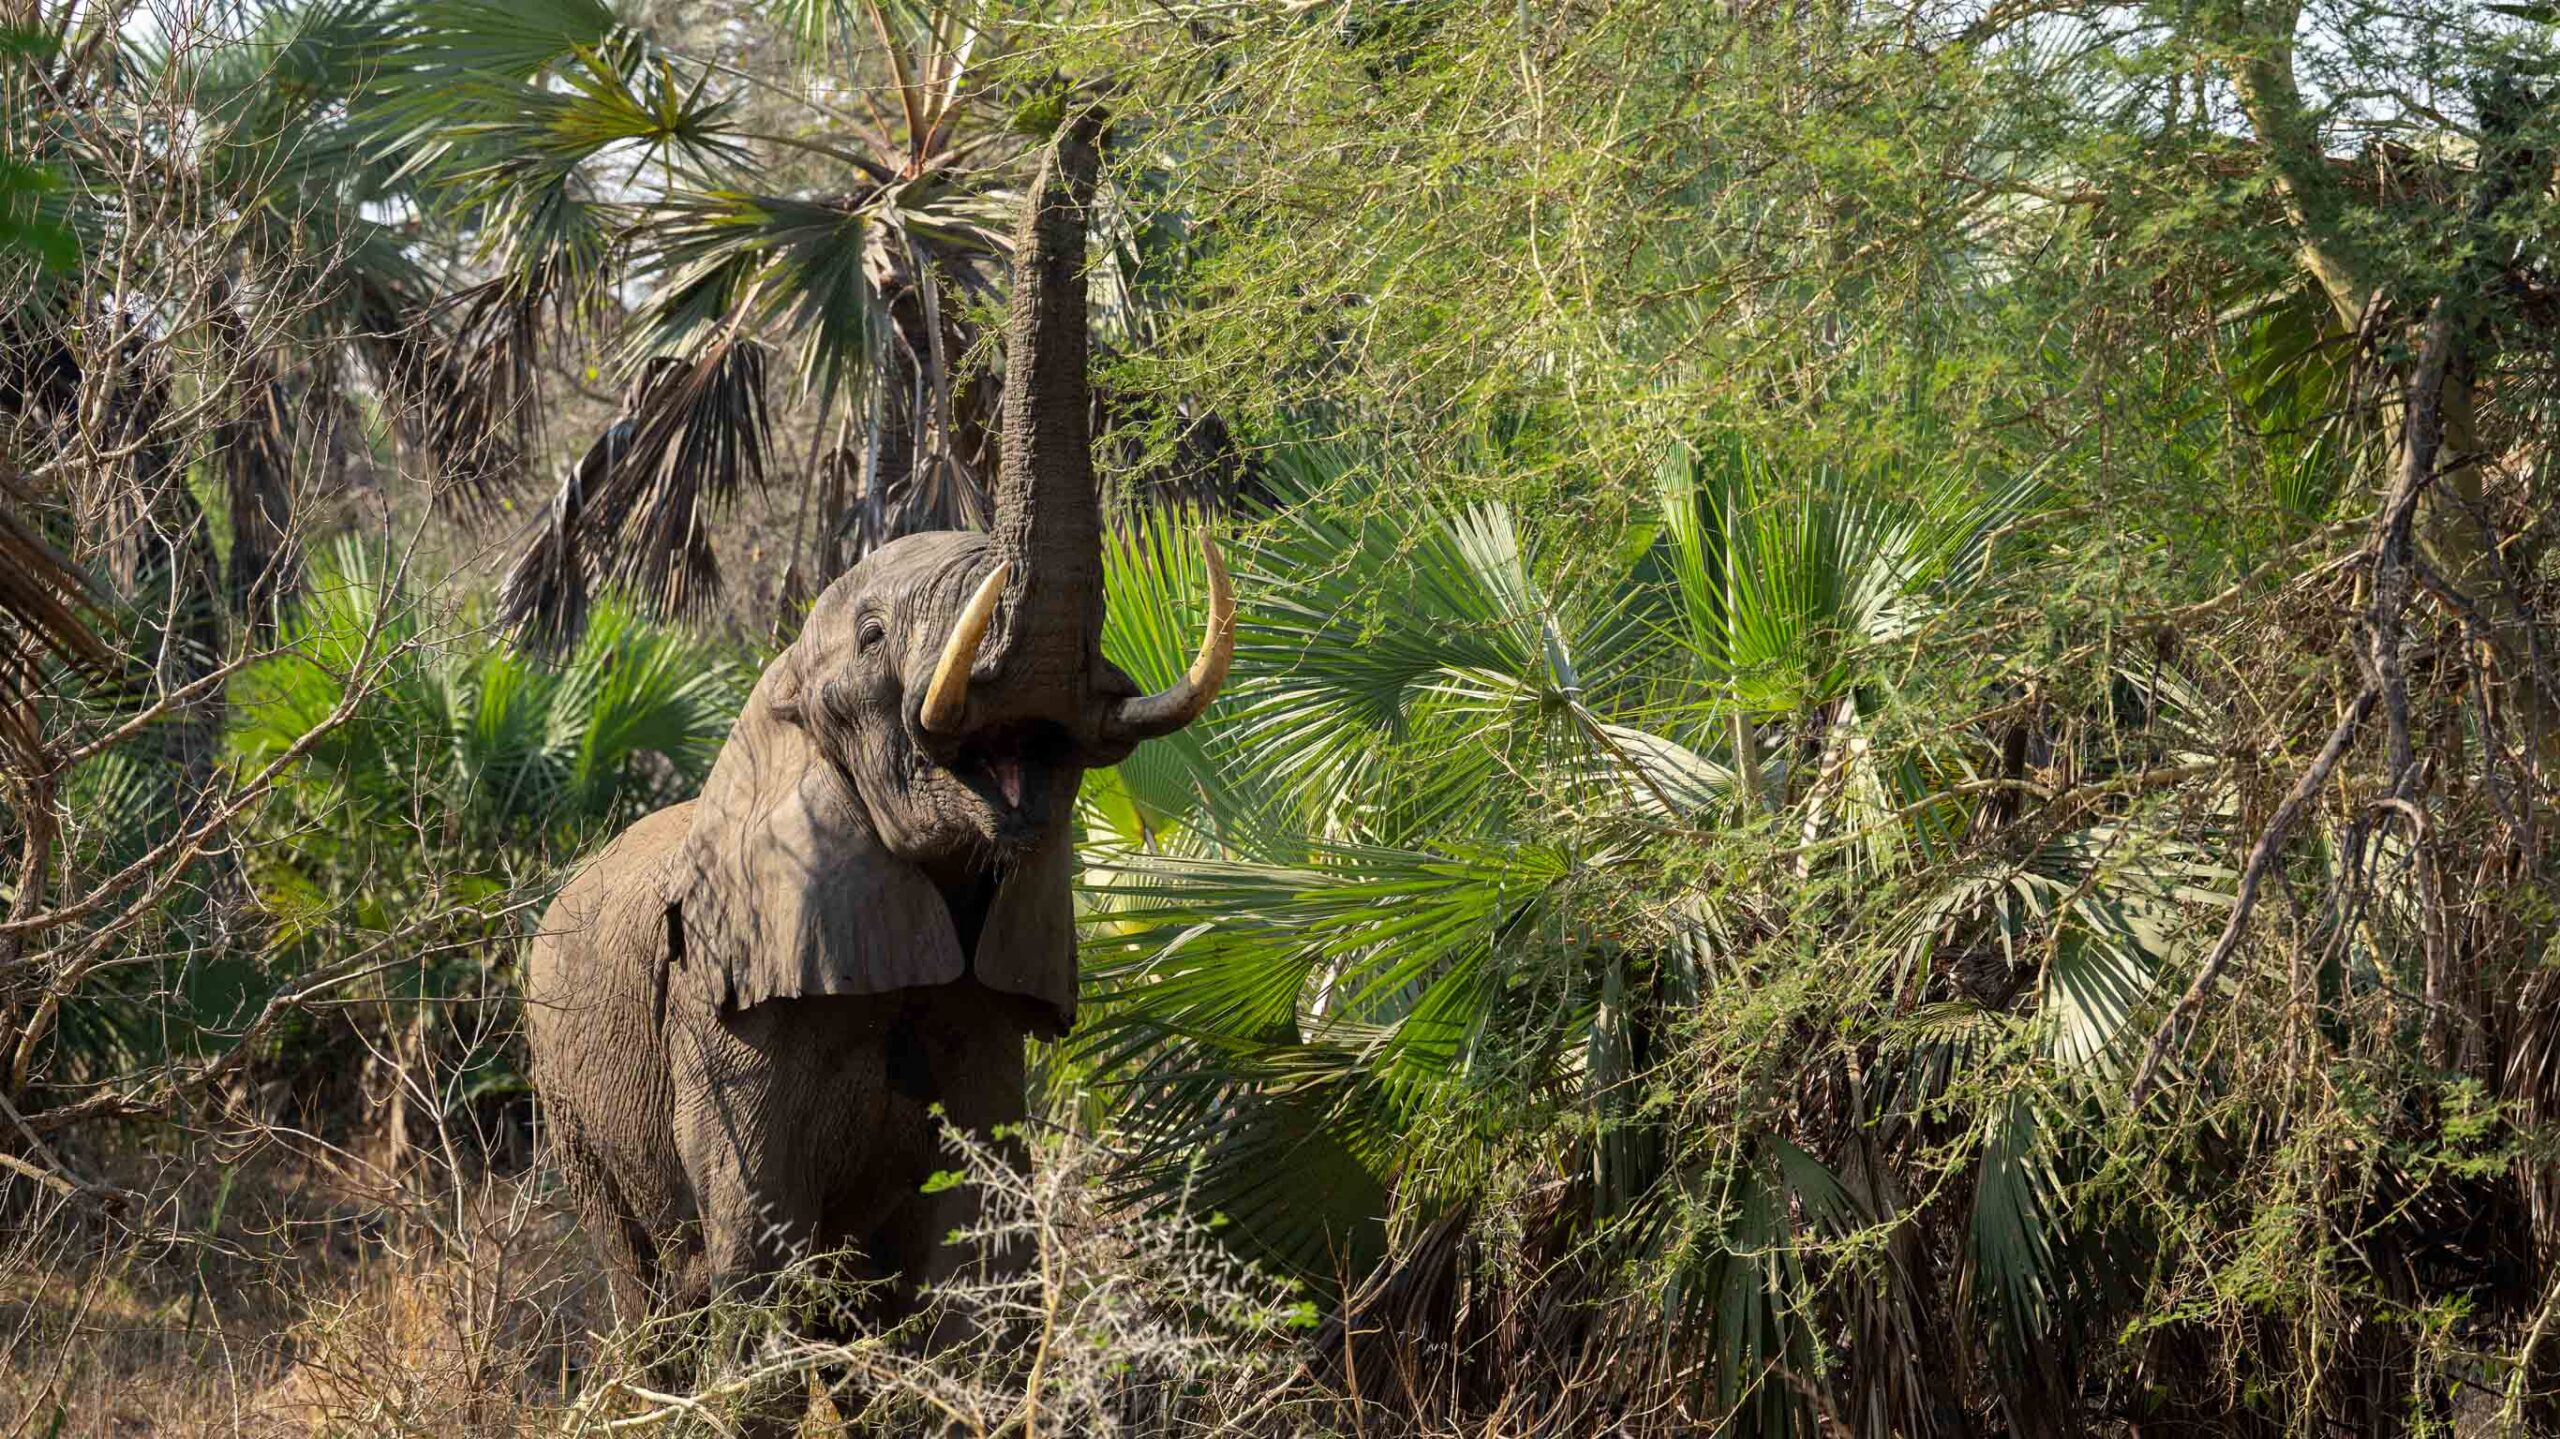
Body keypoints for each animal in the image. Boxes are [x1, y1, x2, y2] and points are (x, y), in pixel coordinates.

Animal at [519, 114, 1233, 1362]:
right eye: (869, 635)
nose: (1082, 117)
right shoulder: (727, 999)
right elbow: (760, 1251)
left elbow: (982, 1250)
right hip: (564, 1096)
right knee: (648, 1280)